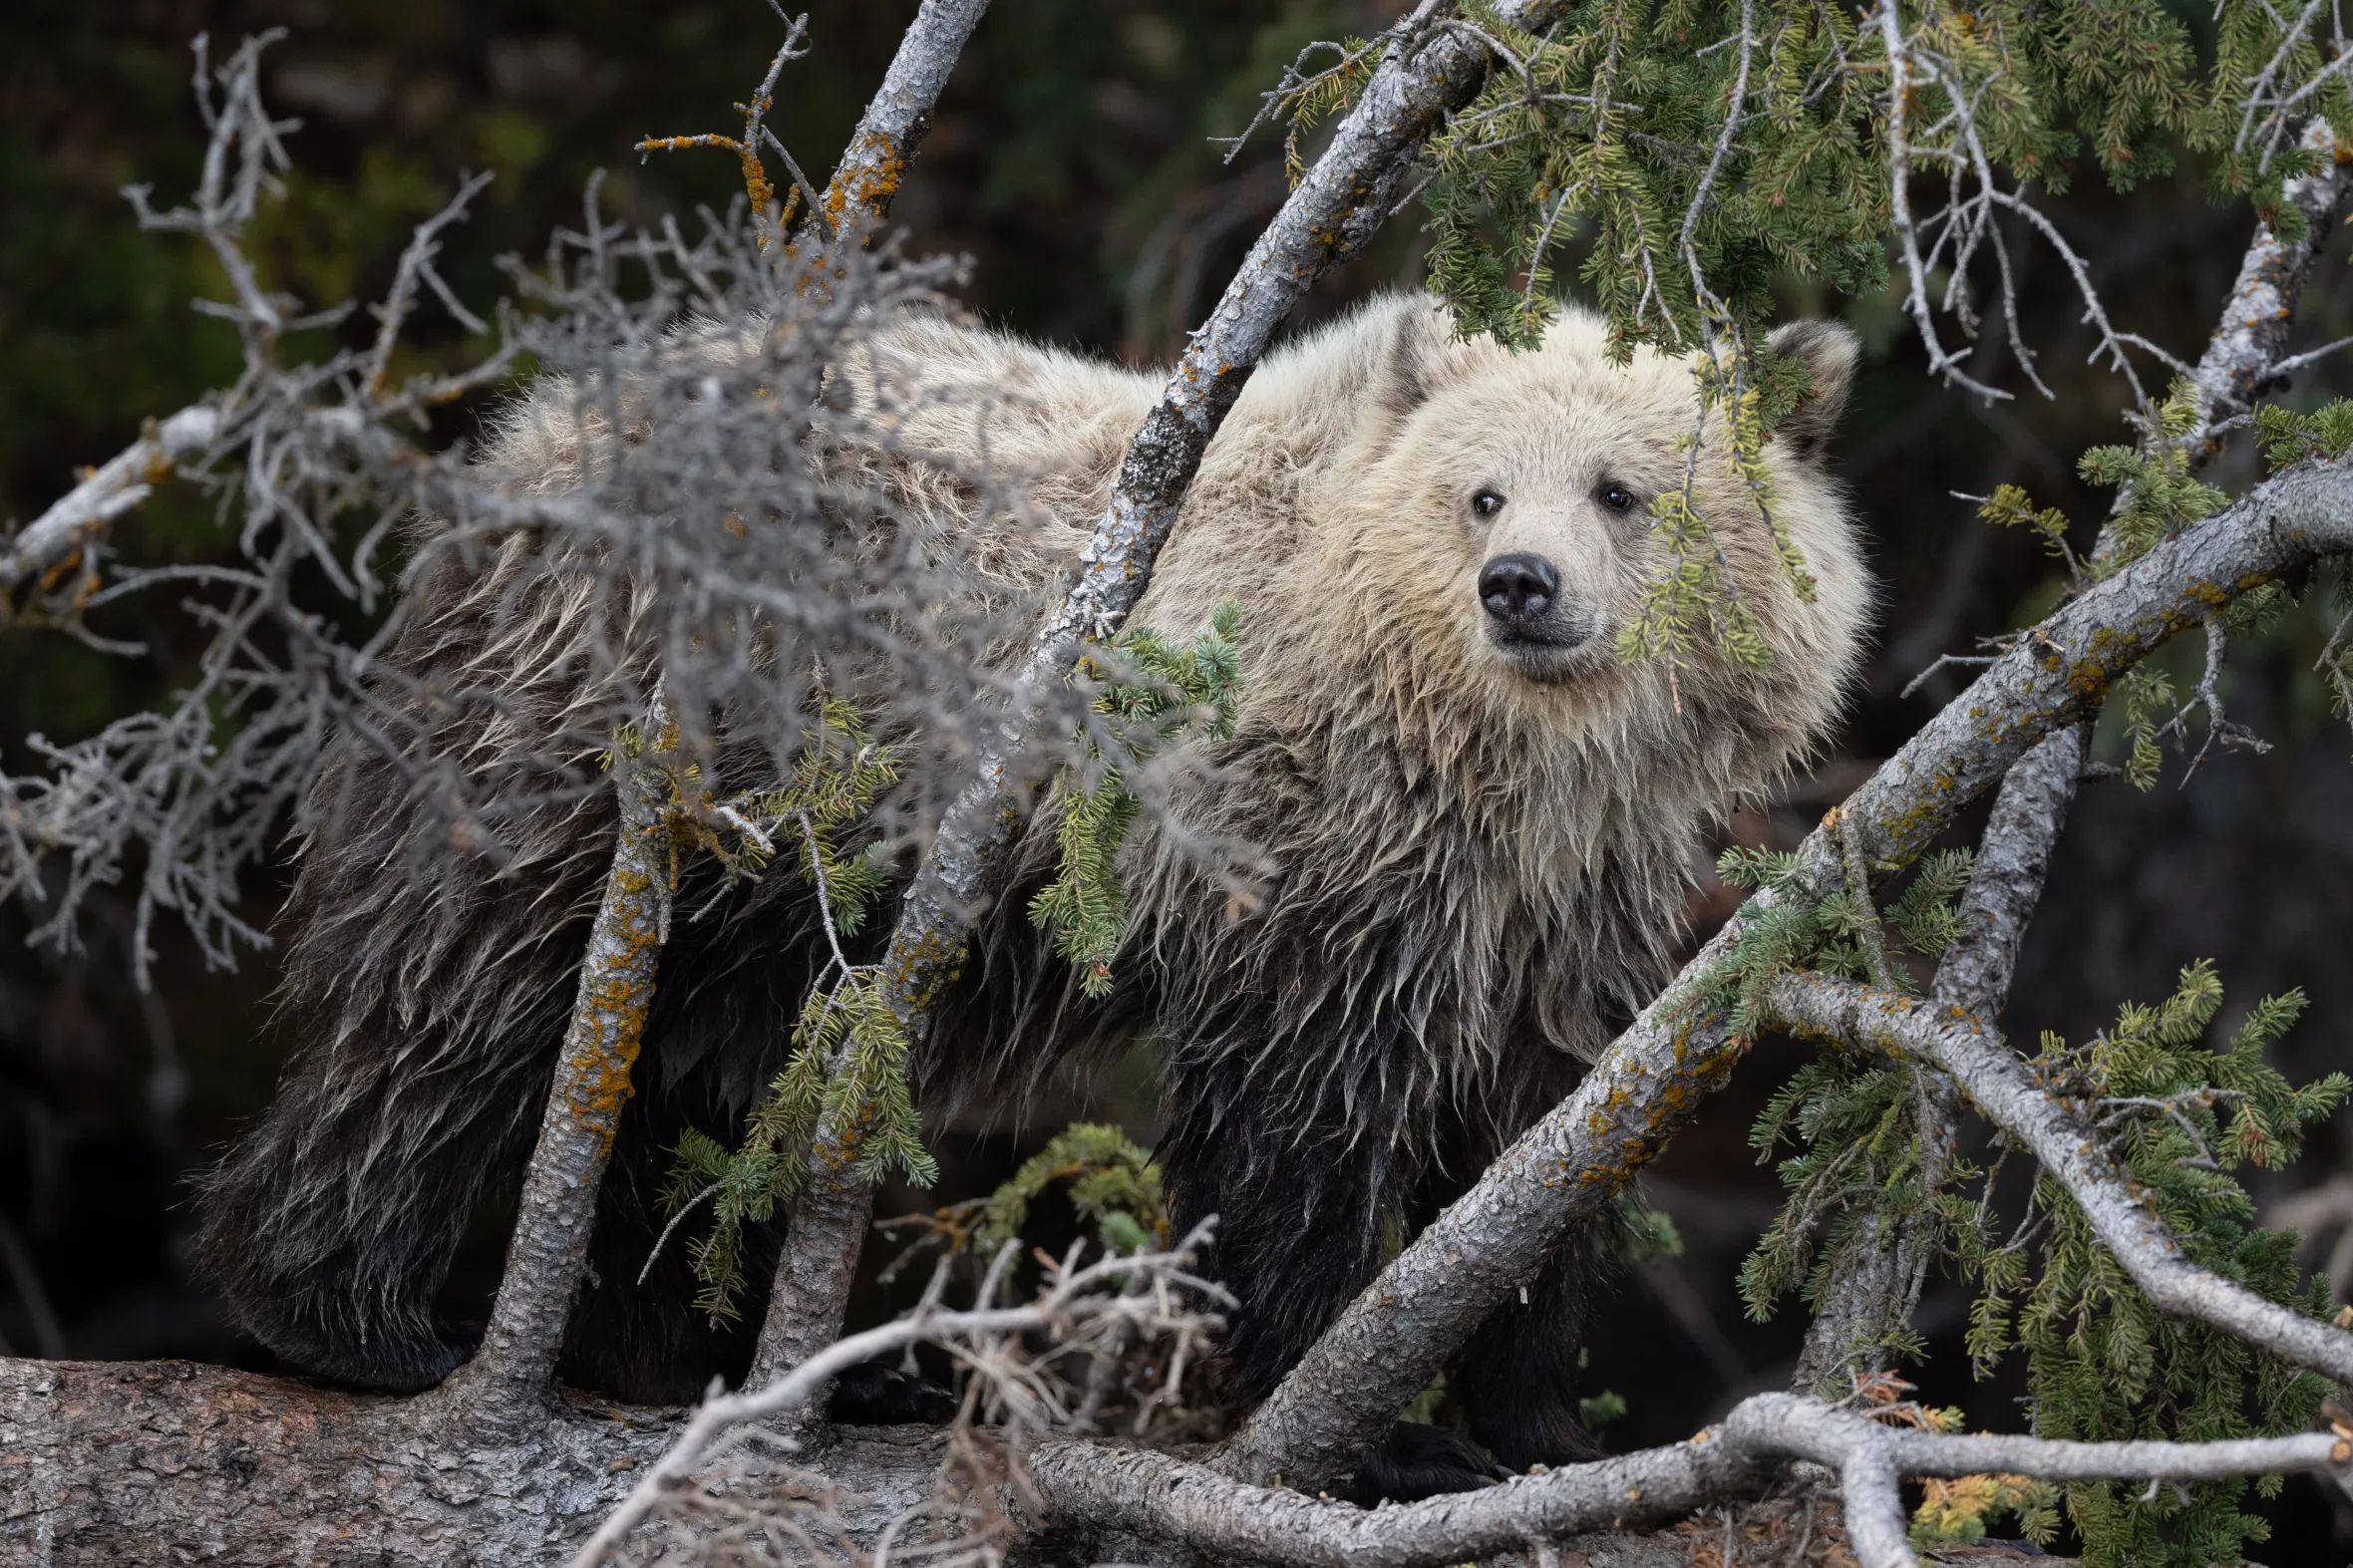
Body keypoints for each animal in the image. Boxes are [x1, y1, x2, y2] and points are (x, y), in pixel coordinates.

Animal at [194, 293, 1868, 1494]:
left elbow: (1547, 1140)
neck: (1502, 768)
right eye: (1480, 490)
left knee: (693, 1078)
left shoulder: (1563, 912)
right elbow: (1302, 1121)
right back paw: (354, 1318)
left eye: (1623, 490)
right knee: (470, 990)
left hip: (776, 881)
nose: (1522, 586)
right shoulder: (1303, 850)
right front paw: (1377, 1425)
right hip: (631, 731)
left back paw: (726, 1355)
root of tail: (523, 440)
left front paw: (1538, 1417)